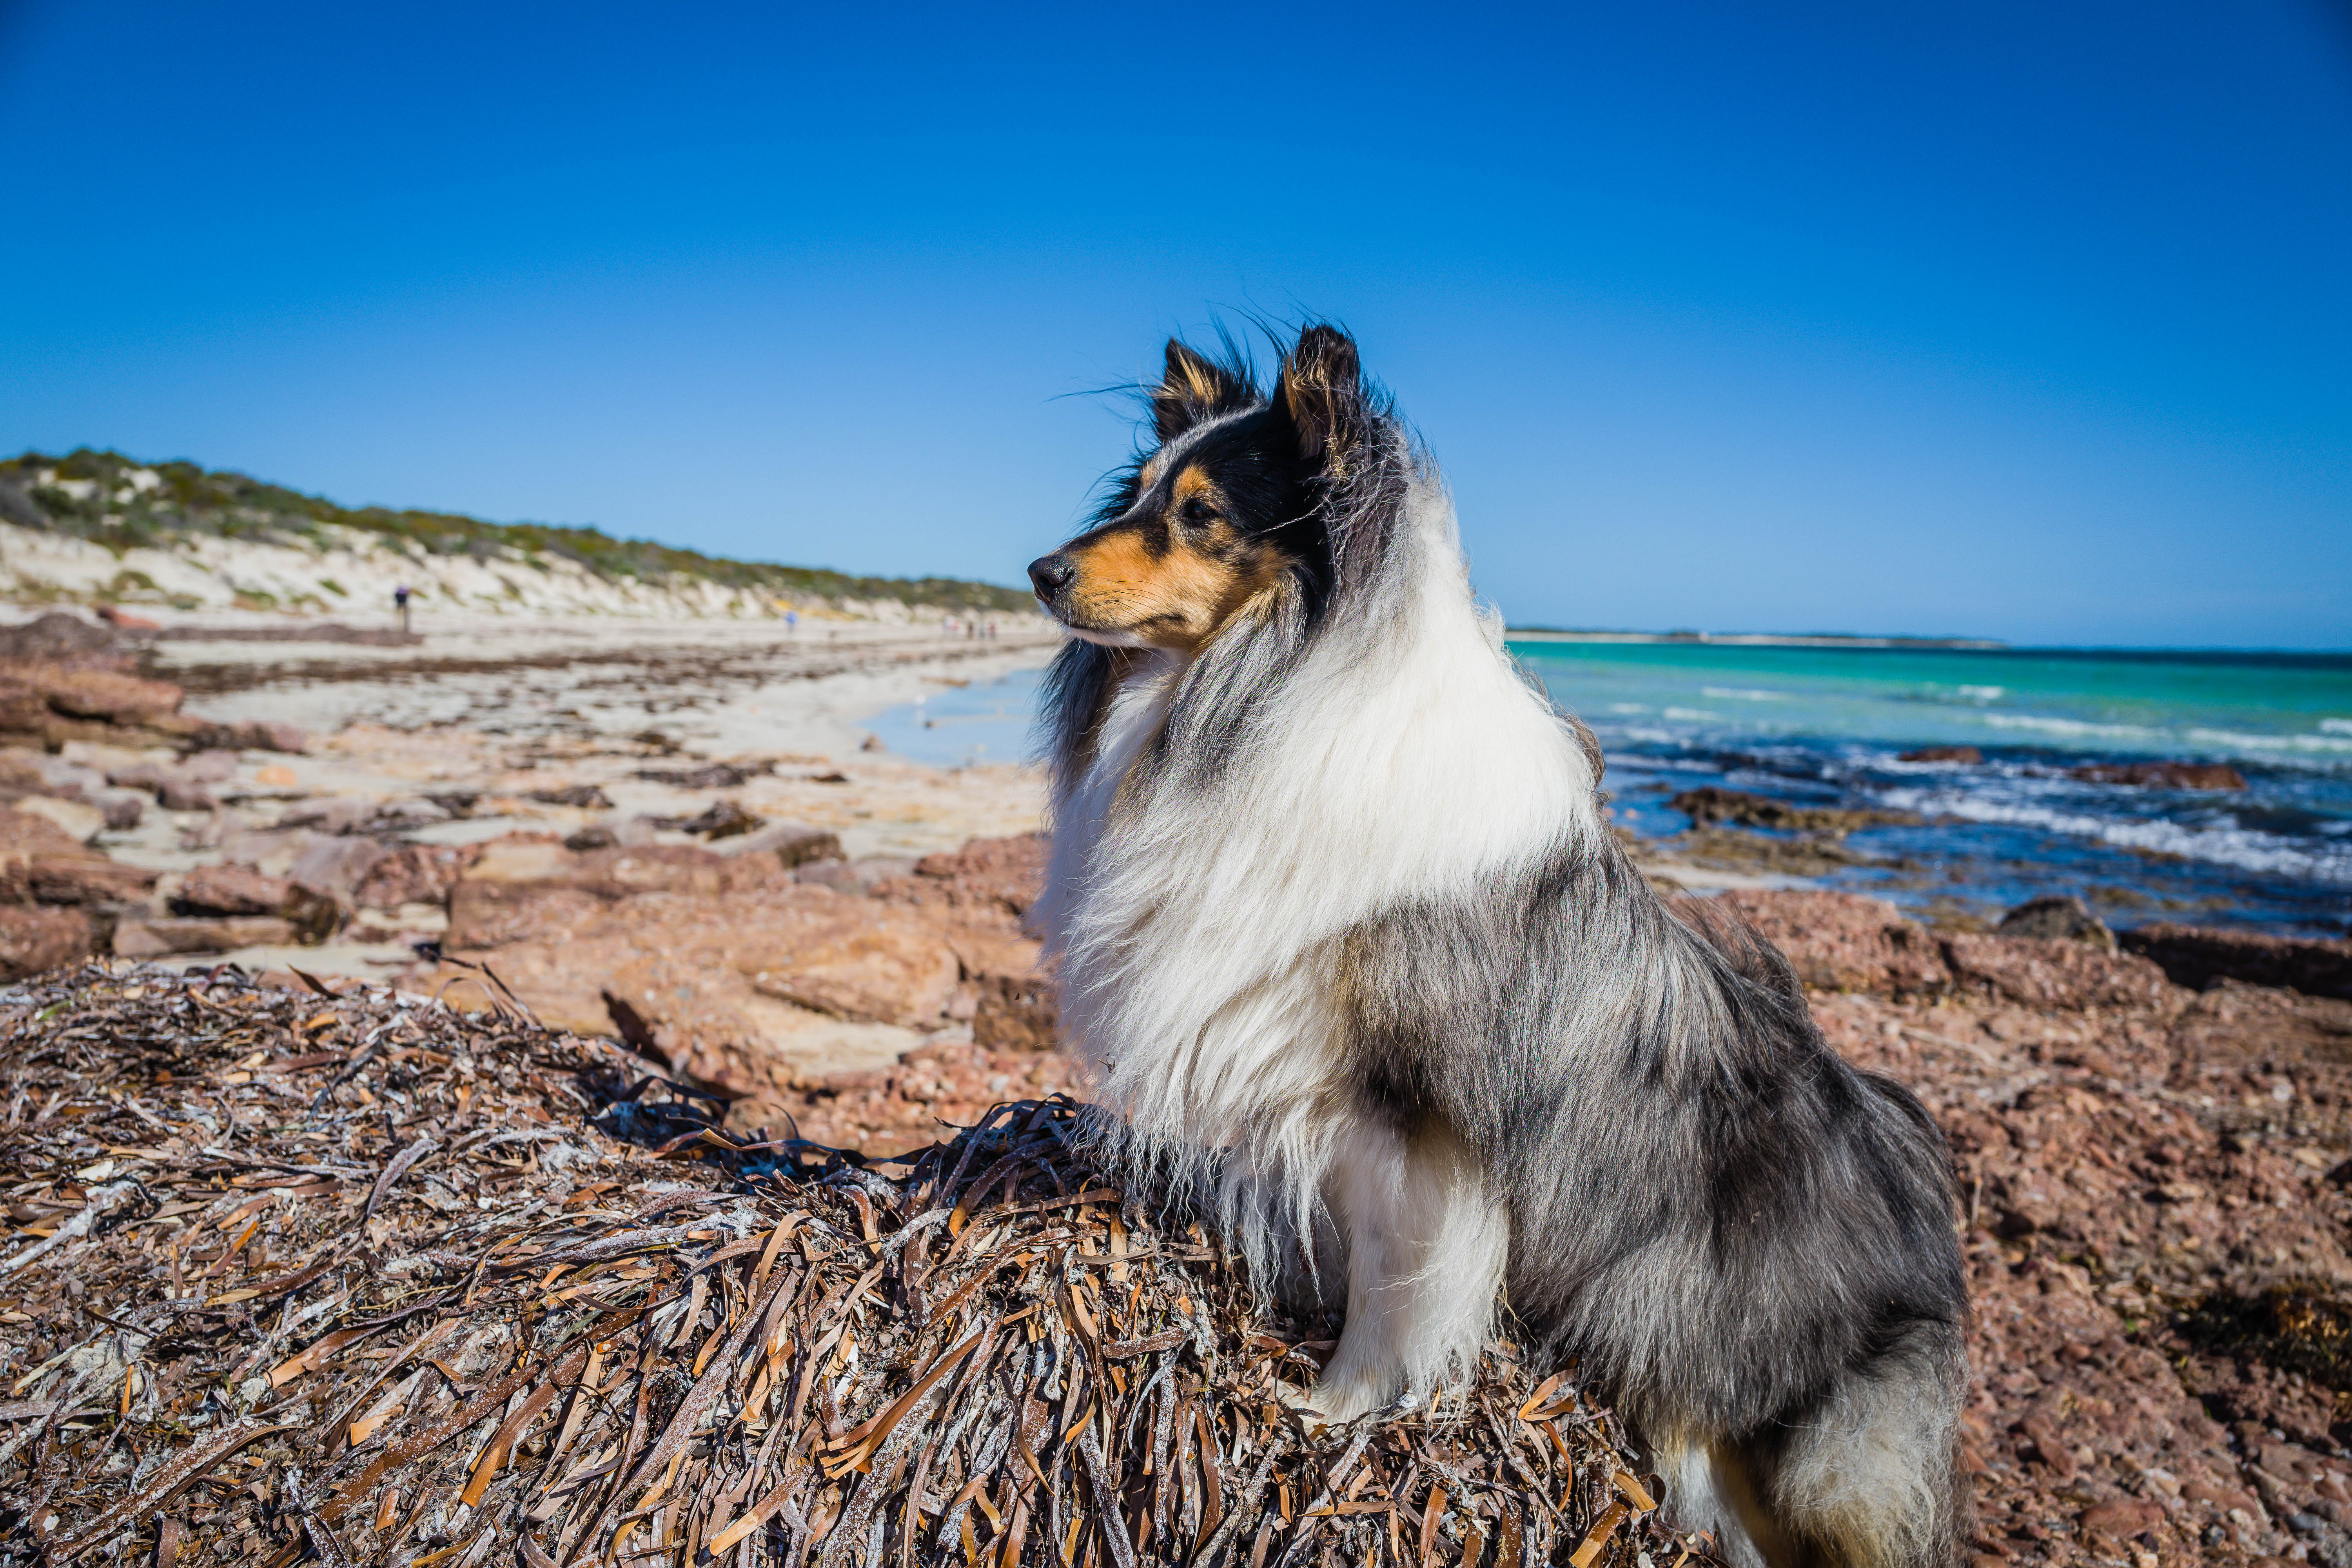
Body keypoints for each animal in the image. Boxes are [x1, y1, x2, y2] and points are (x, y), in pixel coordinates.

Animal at [1030, 324, 1966, 1561]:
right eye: (1135, 493)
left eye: (1199, 514)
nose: (1039, 572)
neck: (1261, 685)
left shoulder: (1420, 1112)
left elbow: (1399, 1283)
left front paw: (1333, 1407)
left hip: (1785, 1428)